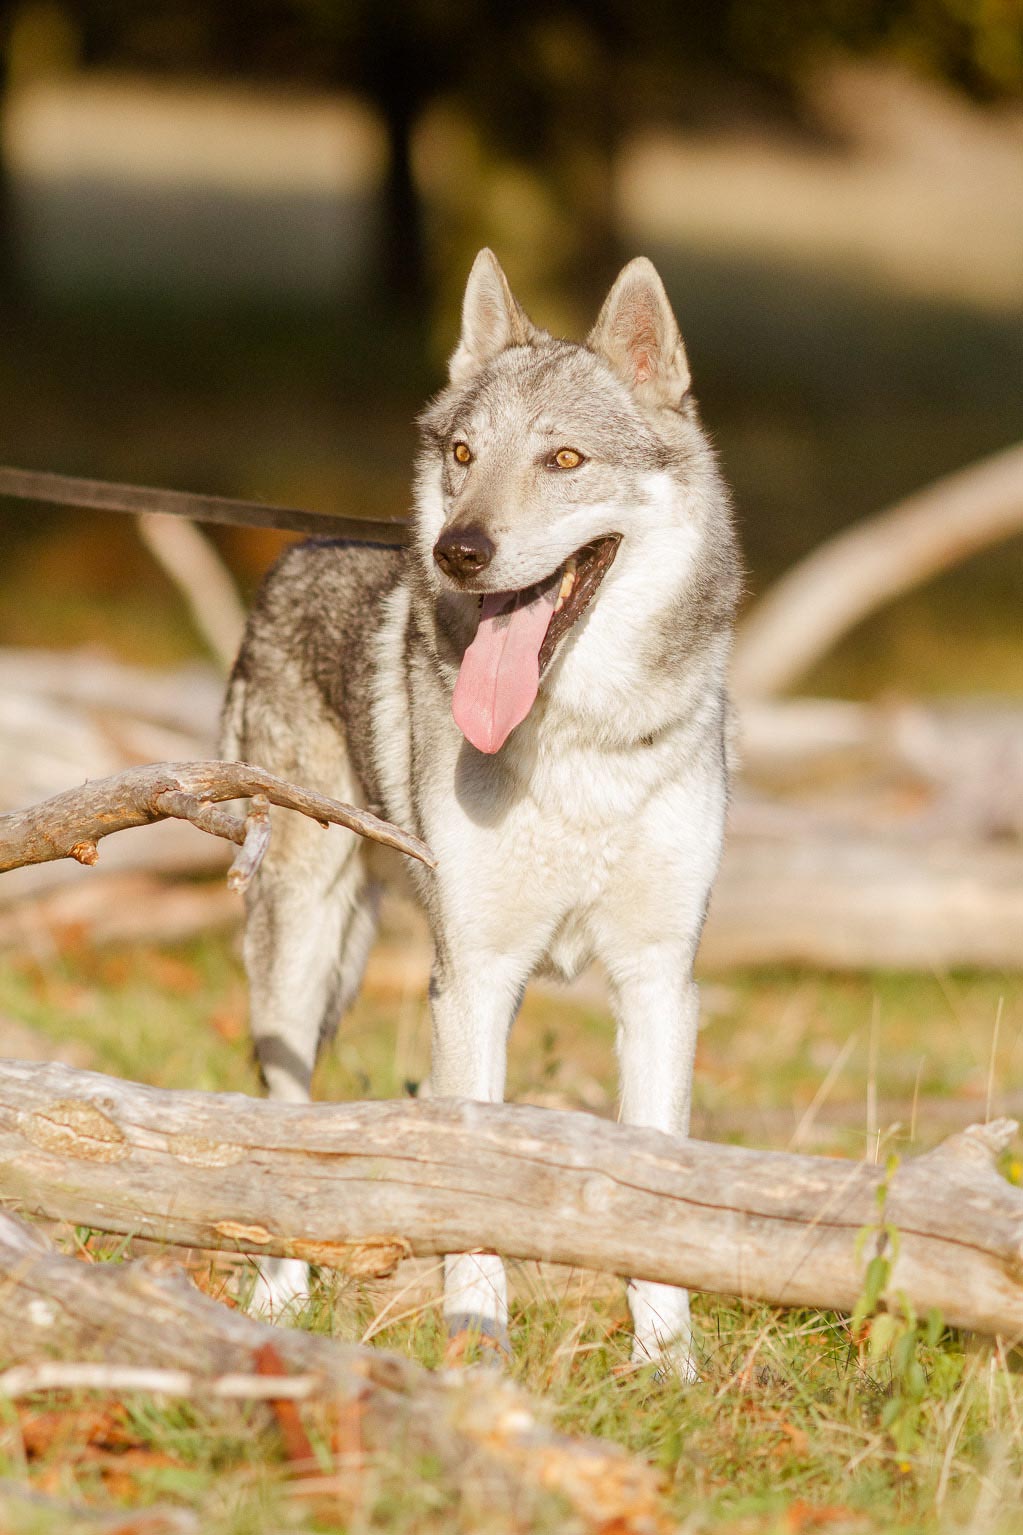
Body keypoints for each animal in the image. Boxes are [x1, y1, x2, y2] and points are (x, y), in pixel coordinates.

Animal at [221, 249, 740, 1376]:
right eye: (463, 453)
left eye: (564, 458)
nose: (458, 548)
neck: (579, 742)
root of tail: (299, 547)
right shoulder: (472, 977)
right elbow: (473, 1187)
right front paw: (476, 1353)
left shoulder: (658, 979)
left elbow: (657, 1190)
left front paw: (667, 1370)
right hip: (299, 942)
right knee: (280, 1111)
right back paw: (278, 1299)